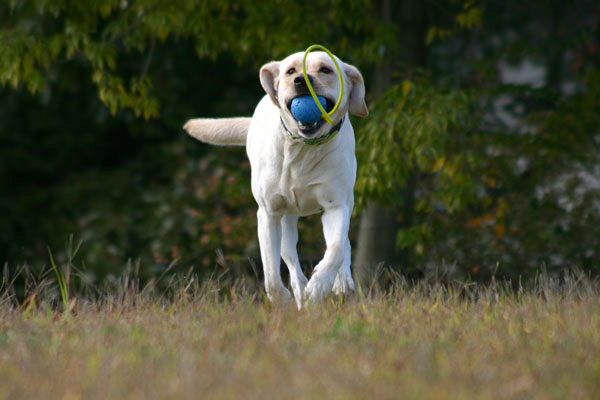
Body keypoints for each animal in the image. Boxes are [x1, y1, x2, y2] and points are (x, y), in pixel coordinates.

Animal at [183, 50, 368, 306]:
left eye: (325, 69)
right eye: (291, 71)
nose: (302, 80)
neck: (303, 148)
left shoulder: (336, 205)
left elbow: (336, 249)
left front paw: (320, 285)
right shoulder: (268, 213)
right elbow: (270, 271)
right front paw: (282, 298)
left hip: (345, 202)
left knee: (342, 244)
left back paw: (340, 282)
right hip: (286, 220)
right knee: (291, 260)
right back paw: (301, 292)